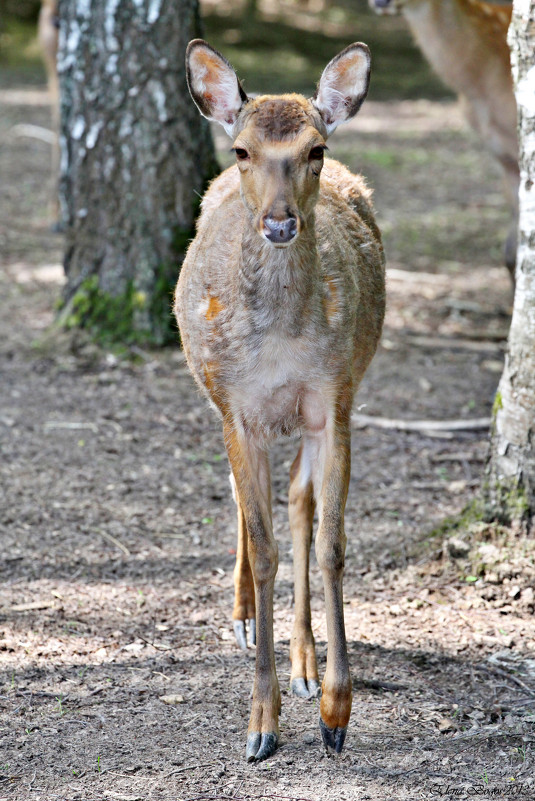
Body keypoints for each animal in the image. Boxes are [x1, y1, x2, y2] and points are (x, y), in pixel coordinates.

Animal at [176, 39, 386, 764]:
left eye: (314, 148)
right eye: (242, 150)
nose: (278, 222)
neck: (279, 345)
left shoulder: (334, 400)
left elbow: (330, 544)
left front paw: (334, 710)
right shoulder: (238, 409)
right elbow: (264, 545)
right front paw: (259, 725)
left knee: (296, 499)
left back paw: (302, 663)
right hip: (217, 396)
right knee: (245, 503)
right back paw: (243, 619)